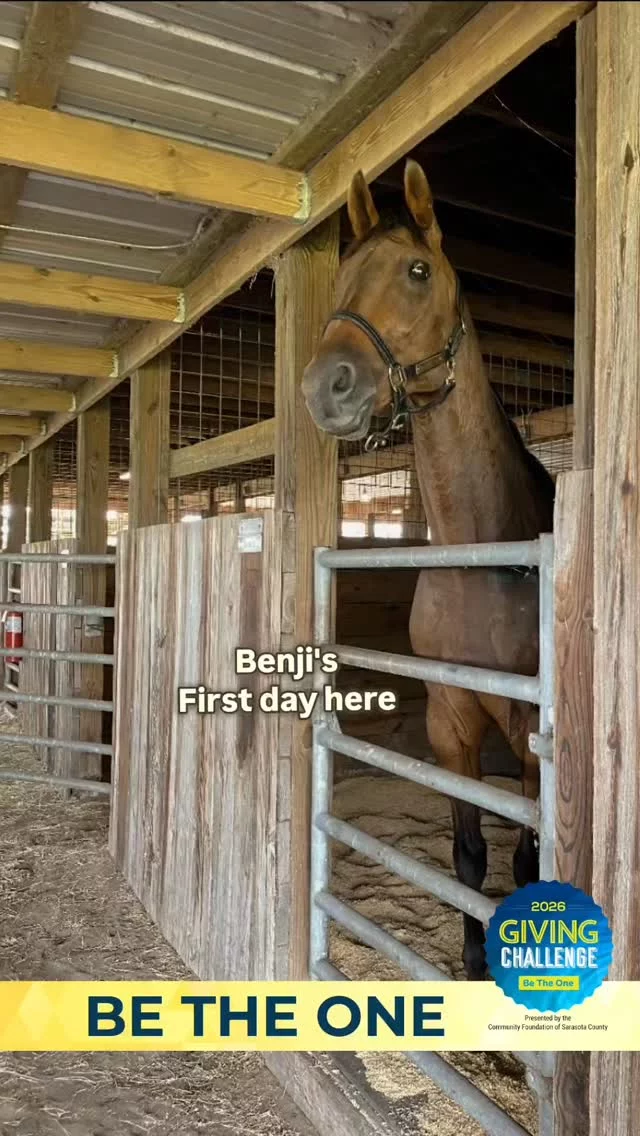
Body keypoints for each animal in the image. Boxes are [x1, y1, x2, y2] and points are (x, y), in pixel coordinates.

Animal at [301, 160, 555, 980]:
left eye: (417, 270)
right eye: (344, 273)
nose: (326, 387)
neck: (483, 560)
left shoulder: (530, 728)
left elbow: (528, 858)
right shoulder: (451, 718)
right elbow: (469, 856)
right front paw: (473, 961)